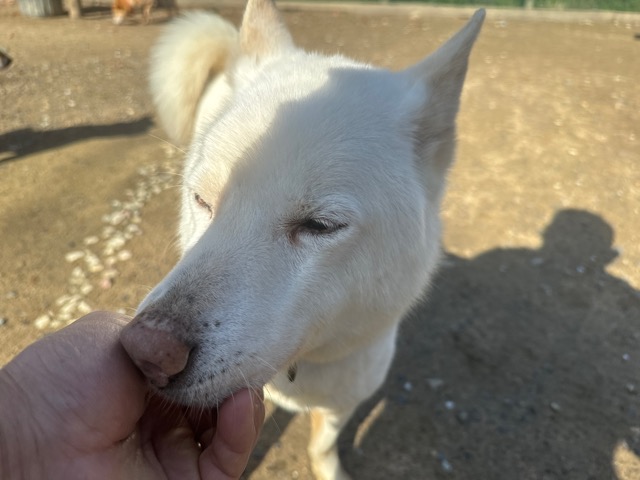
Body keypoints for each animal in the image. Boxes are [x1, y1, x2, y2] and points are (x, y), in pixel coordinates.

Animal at [120, 2, 484, 479]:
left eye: (320, 225)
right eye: (201, 199)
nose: (147, 353)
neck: (304, 366)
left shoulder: (344, 401)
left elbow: (323, 444)